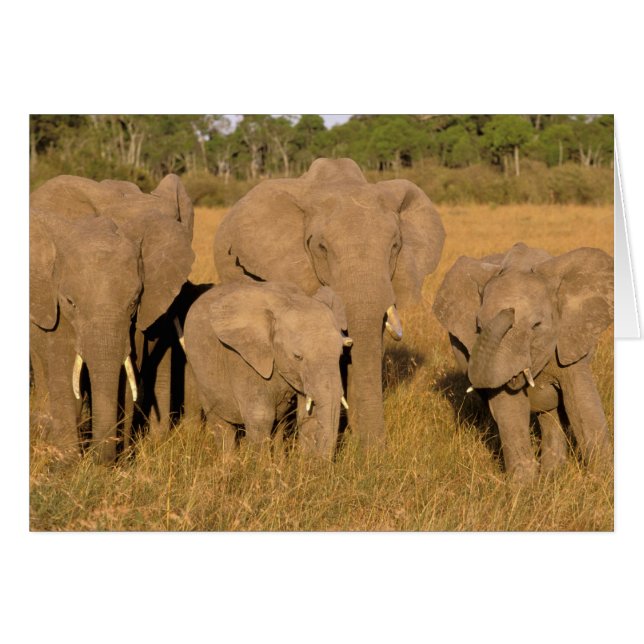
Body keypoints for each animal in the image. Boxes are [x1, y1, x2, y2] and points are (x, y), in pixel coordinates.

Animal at [30, 174, 195, 463]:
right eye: (70, 302)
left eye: (133, 302)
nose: (101, 459)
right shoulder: (55, 301)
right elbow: (63, 371)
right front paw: (67, 463)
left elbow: (127, 372)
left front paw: (120, 460)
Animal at [183, 280, 352, 458]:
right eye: (297, 357)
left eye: (340, 354)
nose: (323, 461)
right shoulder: (242, 358)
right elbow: (261, 416)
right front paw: (259, 465)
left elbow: (308, 415)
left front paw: (306, 462)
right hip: (198, 369)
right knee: (220, 424)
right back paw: (228, 462)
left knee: (279, 425)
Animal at [433, 242, 613, 481]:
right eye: (478, 327)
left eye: (536, 325)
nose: (509, 310)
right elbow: (509, 407)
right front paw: (524, 486)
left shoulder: (570, 338)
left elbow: (582, 402)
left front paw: (601, 481)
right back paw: (551, 474)